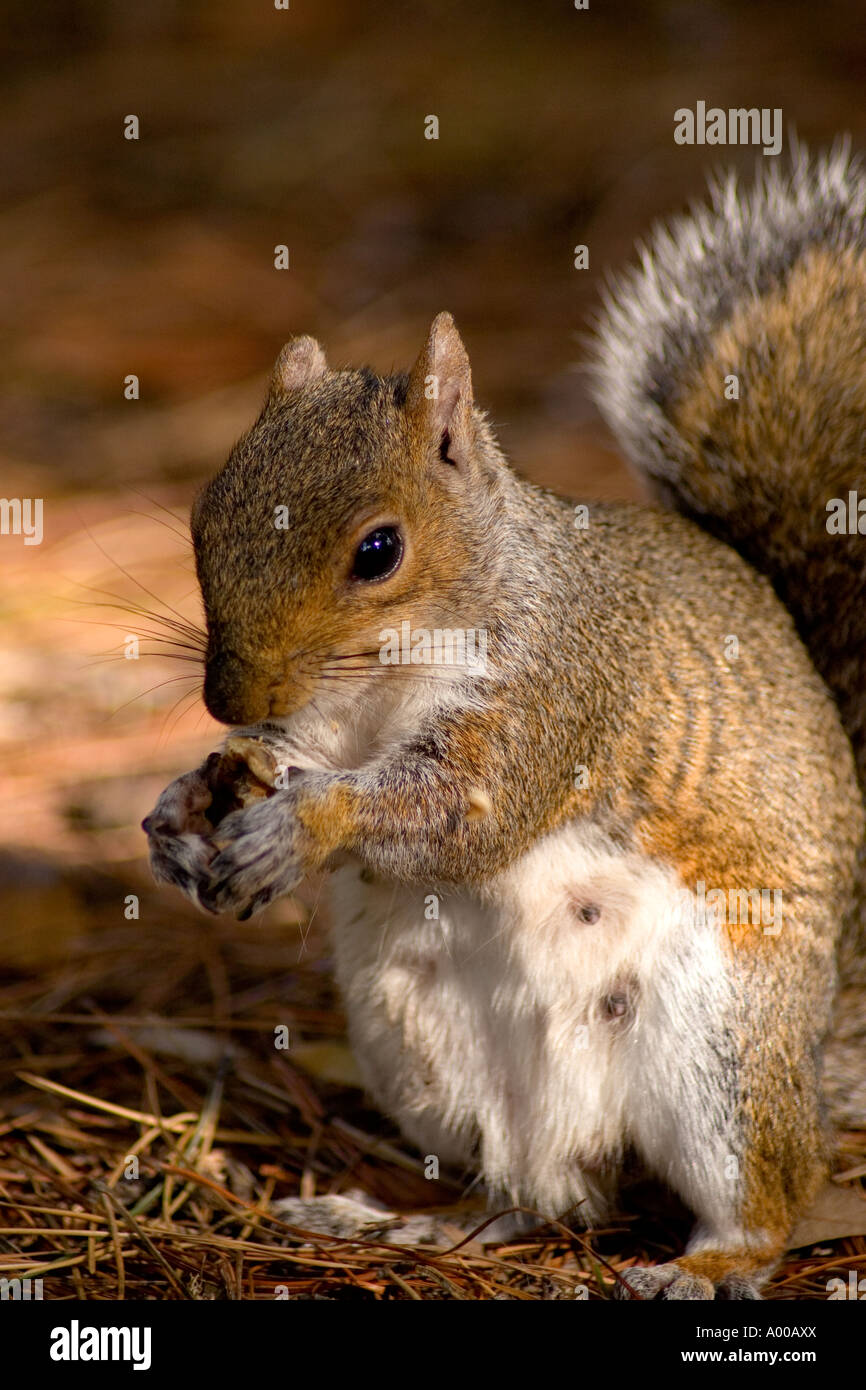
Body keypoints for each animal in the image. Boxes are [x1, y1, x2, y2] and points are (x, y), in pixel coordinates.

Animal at [143, 143, 866, 1301]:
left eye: (378, 550)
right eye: (206, 516)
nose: (229, 700)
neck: (380, 684)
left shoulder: (552, 689)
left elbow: (460, 813)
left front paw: (298, 827)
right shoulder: (320, 730)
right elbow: (288, 767)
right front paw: (183, 808)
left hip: (722, 1044)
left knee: (760, 1185)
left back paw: (710, 1261)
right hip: (417, 1042)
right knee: (535, 1196)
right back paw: (407, 1222)